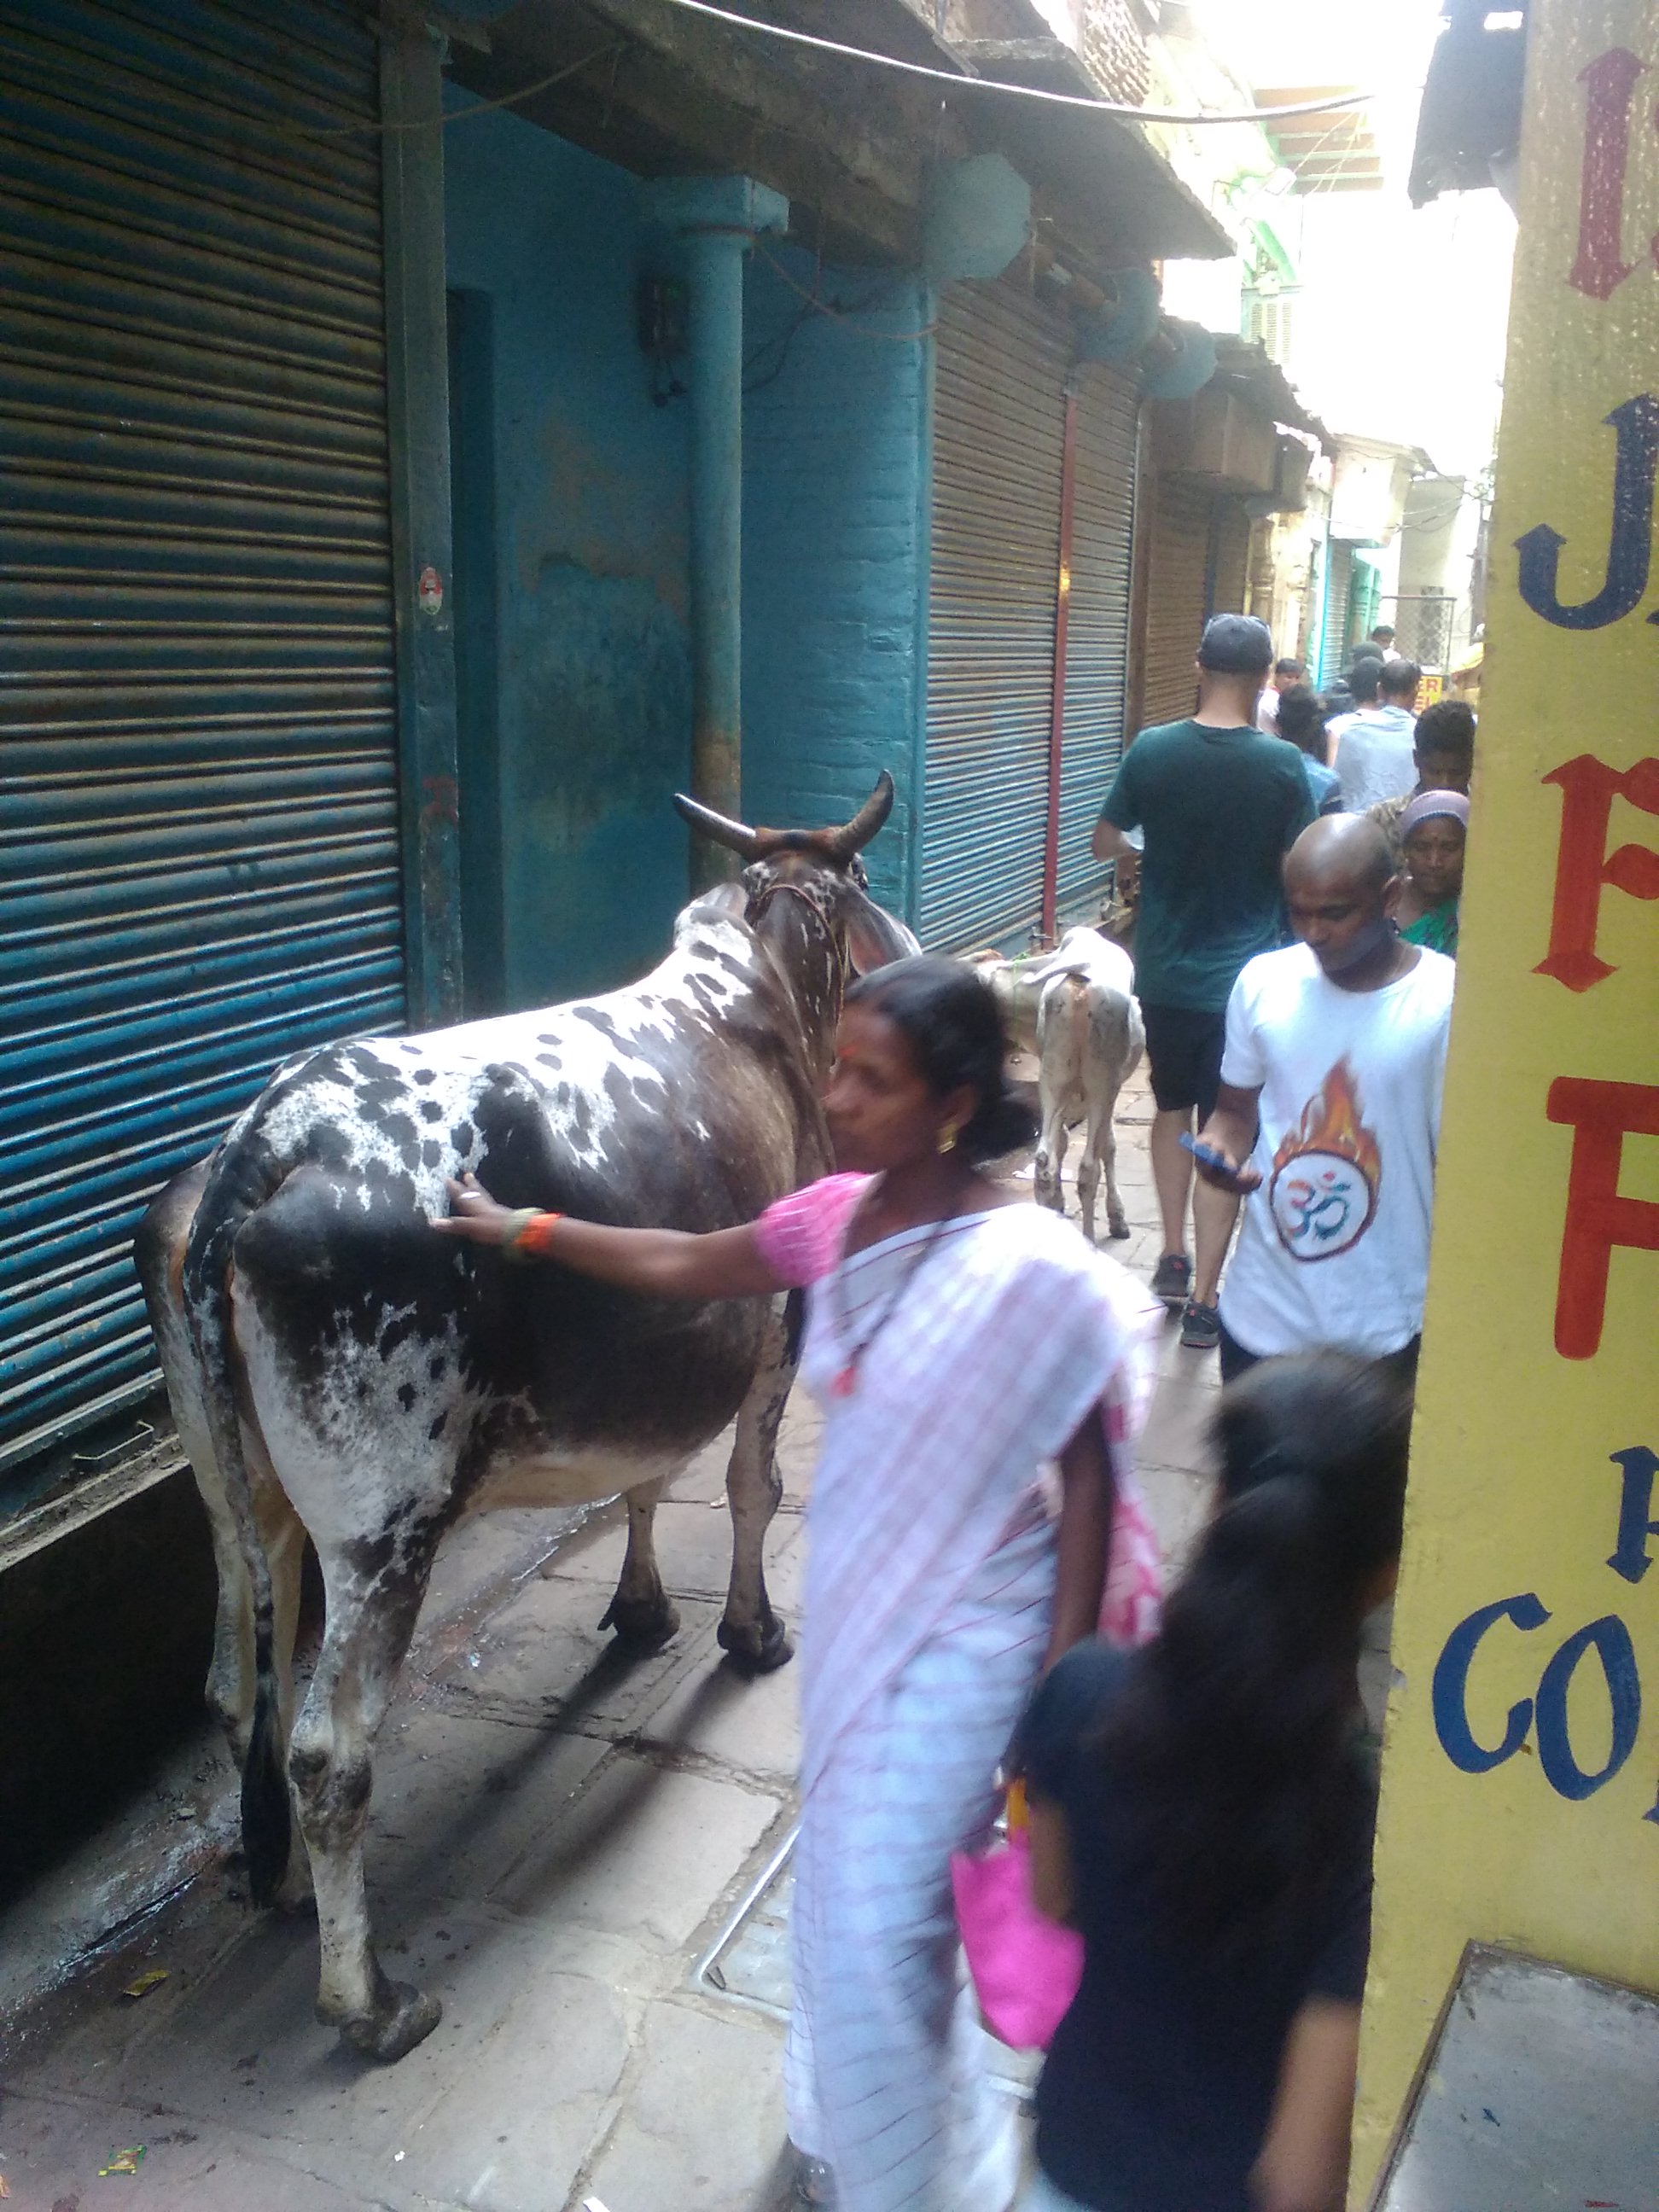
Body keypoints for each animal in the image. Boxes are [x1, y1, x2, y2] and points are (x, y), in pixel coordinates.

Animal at [139, 774, 924, 2052]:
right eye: (862, 886)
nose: (910, 956)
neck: (752, 982)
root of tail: (270, 1136)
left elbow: (649, 1481)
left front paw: (642, 1610)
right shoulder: (779, 1326)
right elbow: (751, 1488)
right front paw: (750, 1632)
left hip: (236, 1494)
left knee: (235, 1685)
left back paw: (288, 1888)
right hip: (383, 1527)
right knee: (326, 1754)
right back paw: (368, 2001)